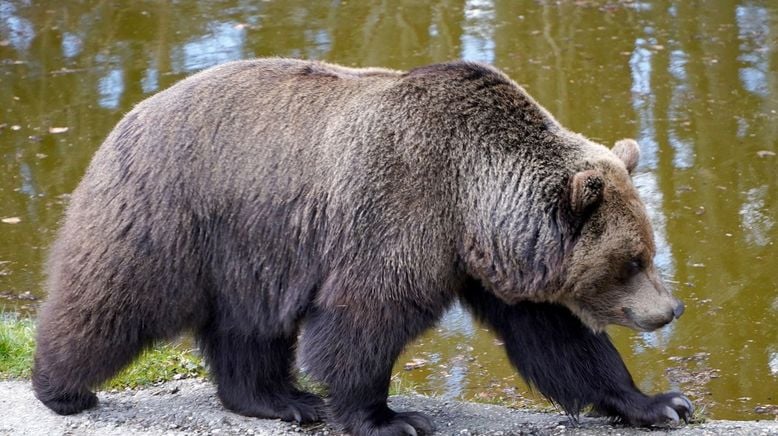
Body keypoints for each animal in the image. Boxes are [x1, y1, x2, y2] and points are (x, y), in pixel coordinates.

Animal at [33, 58, 692, 436]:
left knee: (248, 330)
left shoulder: (497, 268)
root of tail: (130, 114)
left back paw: (283, 398)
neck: (471, 203)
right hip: (176, 215)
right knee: (111, 300)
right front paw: (390, 418)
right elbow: (362, 321)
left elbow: (559, 340)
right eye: (632, 260)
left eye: (650, 250)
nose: (669, 310)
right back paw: (62, 389)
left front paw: (660, 403)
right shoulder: (399, 212)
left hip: (249, 251)